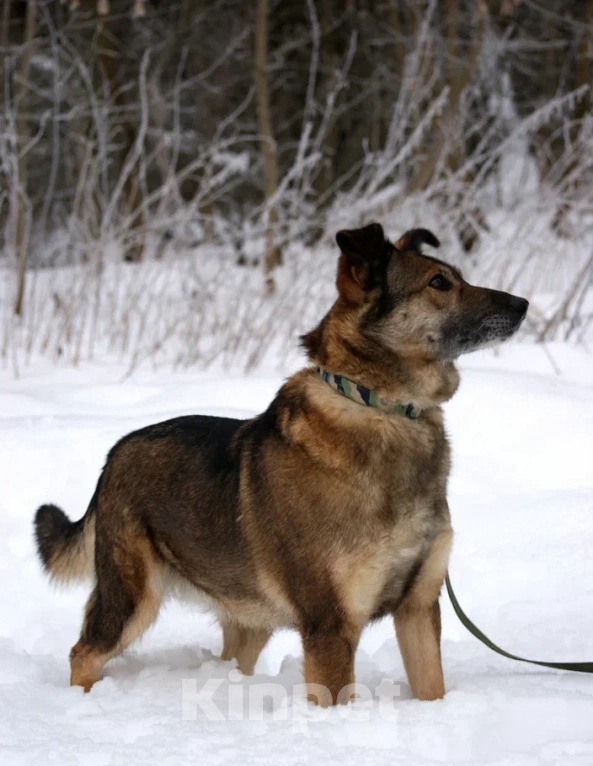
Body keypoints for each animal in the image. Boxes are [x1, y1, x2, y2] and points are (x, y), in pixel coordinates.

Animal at [33, 224, 528, 708]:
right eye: (439, 283)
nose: (523, 305)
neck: (381, 406)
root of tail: (114, 455)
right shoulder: (330, 626)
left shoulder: (419, 609)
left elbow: (432, 689)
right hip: (132, 599)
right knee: (84, 651)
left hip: (250, 619)